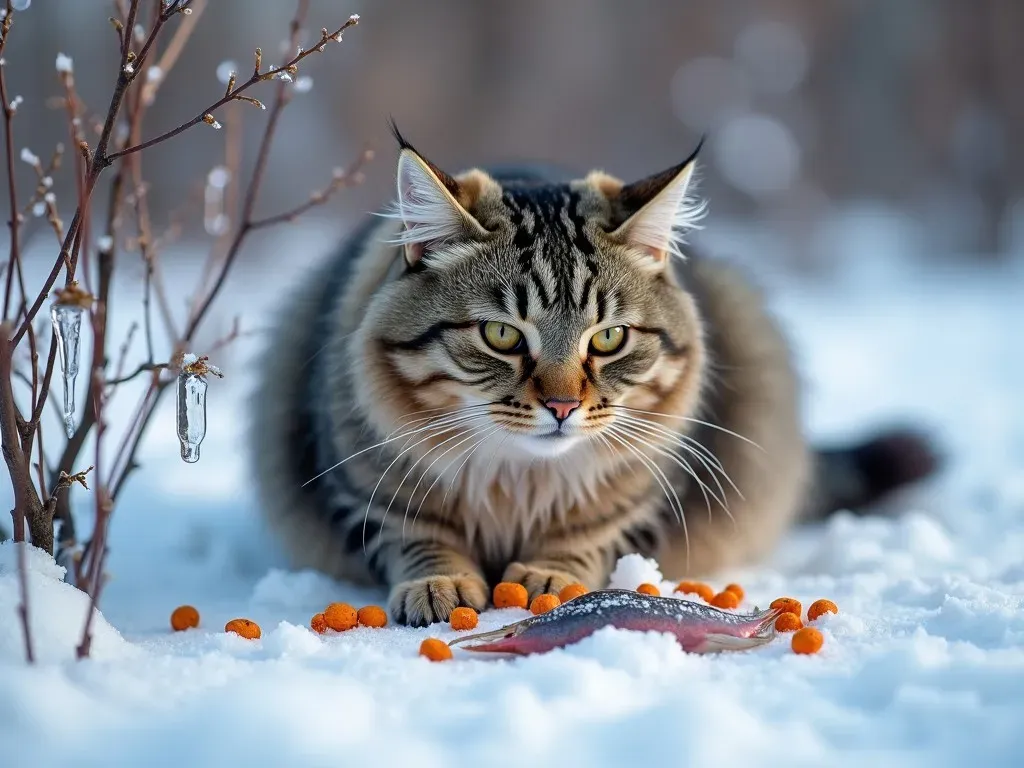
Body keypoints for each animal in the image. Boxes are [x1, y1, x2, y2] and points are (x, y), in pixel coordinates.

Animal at [247, 126, 937, 626]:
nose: (560, 407)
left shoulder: (646, 490)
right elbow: (416, 533)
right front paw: (439, 581)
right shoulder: (358, 478)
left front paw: (549, 573)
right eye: (501, 336)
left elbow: (588, 532)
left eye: (607, 339)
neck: (516, 483)